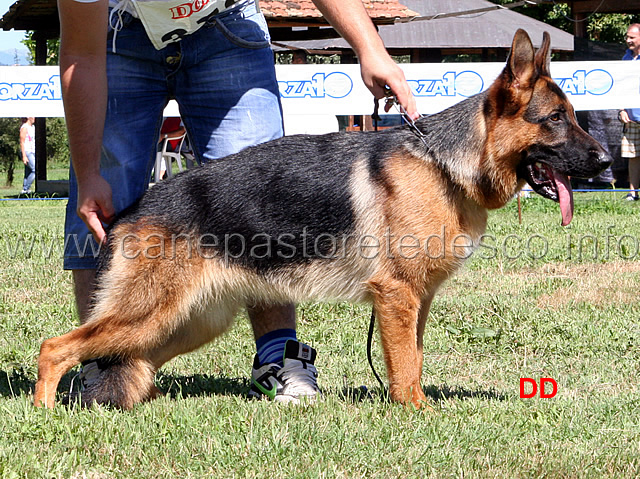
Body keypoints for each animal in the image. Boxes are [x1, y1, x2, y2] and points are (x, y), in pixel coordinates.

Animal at [33, 30, 608, 408]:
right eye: (556, 119)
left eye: (574, 116)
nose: (604, 162)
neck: (445, 165)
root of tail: (137, 207)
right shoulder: (396, 295)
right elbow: (405, 368)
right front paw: (416, 414)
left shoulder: (415, 302)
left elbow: (412, 360)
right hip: (151, 314)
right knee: (55, 347)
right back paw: (44, 412)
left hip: (188, 321)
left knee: (131, 363)